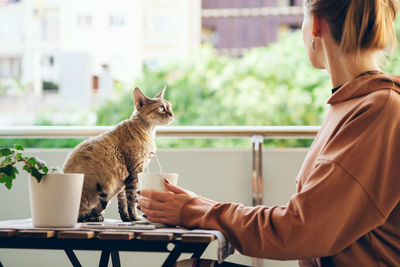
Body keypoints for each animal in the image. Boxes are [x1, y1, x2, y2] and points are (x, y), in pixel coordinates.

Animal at [62, 86, 173, 222]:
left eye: (170, 107)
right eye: (162, 108)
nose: (172, 114)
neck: (148, 132)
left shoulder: (123, 179)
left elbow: (122, 202)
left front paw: (126, 218)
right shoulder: (134, 172)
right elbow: (131, 199)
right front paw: (134, 217)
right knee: (81, 216)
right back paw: (94, 217)